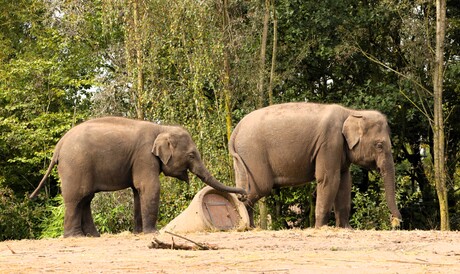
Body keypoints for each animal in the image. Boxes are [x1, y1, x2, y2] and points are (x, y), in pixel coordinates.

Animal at [30, 116, 246, 237]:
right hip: (75, 166)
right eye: (192, 155)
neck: (162, 128)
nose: (243, 194)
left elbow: (137, 192)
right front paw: (153, 233)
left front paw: (139, 233)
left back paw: (92, 236)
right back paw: (75, 237)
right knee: (77, 198)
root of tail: (59, 146)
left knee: (86, 199)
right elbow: (150, 188)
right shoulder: (144, 156)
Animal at [230, 101, 402, 228]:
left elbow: (345, 182)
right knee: (259, 188)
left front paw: (346, 228)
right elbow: (329, 180)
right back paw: (245, 226)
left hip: (243, 159)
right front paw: (321, 228)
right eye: (379, 145)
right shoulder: (330, 143)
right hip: (253, 155)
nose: (396, 222)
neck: (351, 112)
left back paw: (250, 227)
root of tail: (236, 129)